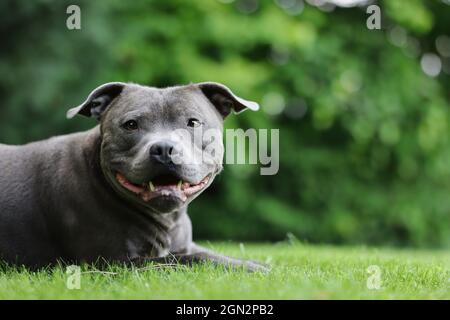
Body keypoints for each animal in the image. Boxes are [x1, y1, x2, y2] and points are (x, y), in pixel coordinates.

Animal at [0, 82, 268, 272]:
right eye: (130, 124)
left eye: (193, 122)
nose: (164, 148)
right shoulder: (115, 262)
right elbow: (188, 260)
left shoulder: (185, 245)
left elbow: (210, 254)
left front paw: (256, 264)